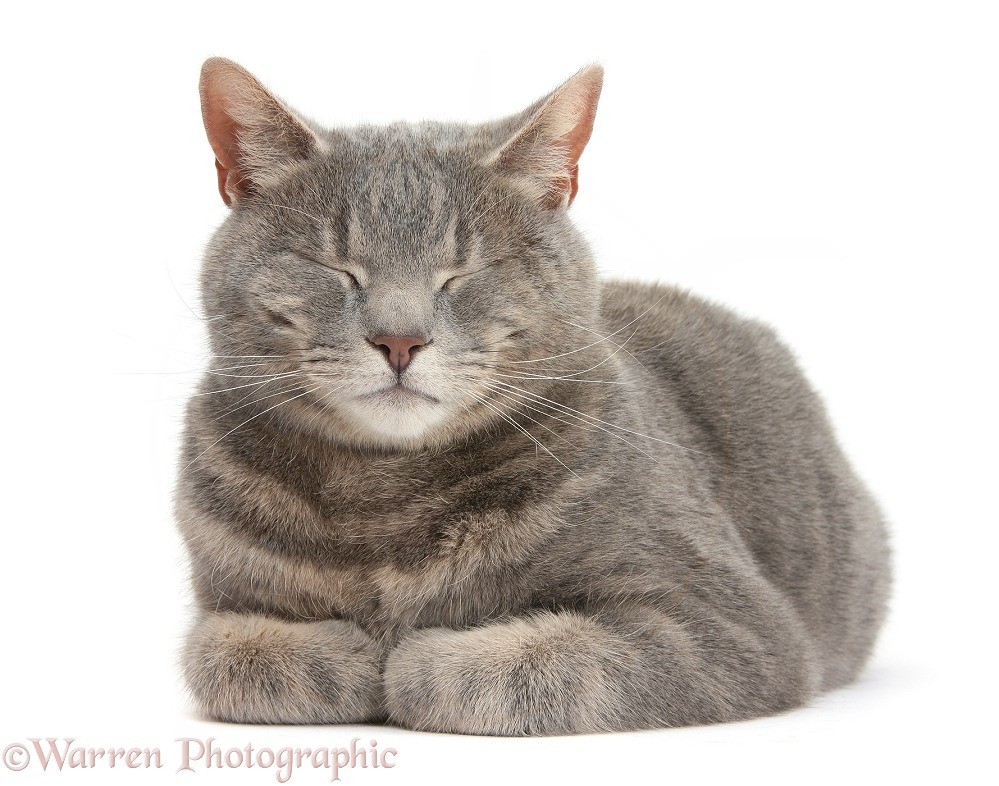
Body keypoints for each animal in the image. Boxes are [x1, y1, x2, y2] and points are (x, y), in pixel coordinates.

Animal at [176, 56, 896, 736]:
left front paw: (412, 658)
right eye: (336, 267)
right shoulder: (220, 604)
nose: (400, 339)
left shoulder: (724, 624)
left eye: (462, 272)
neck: (381, 499)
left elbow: (536, 662)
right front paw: (350, 655)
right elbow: (226, 656)